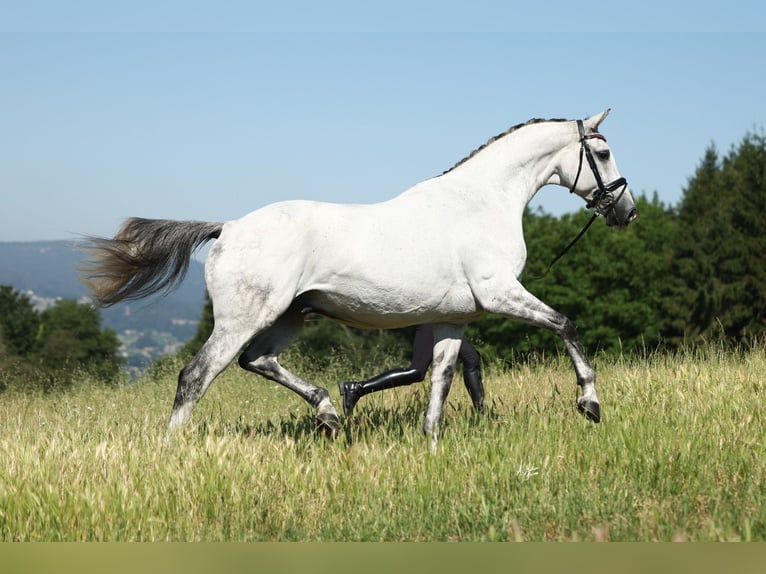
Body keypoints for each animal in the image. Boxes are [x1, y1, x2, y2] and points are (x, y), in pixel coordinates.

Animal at [82, 109, 637, 451]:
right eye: (602, 154)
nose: (625, 211)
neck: (482, 202)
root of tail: (229, 227)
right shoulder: (501, 293)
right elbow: (564, 324)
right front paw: (590, 403)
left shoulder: (454, 319)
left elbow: (442, 378)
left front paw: (432, 443)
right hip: (245, 318)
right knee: (197, 376)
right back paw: (173, 447)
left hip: (288, 317)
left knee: (257, 361)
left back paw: (329, 412)